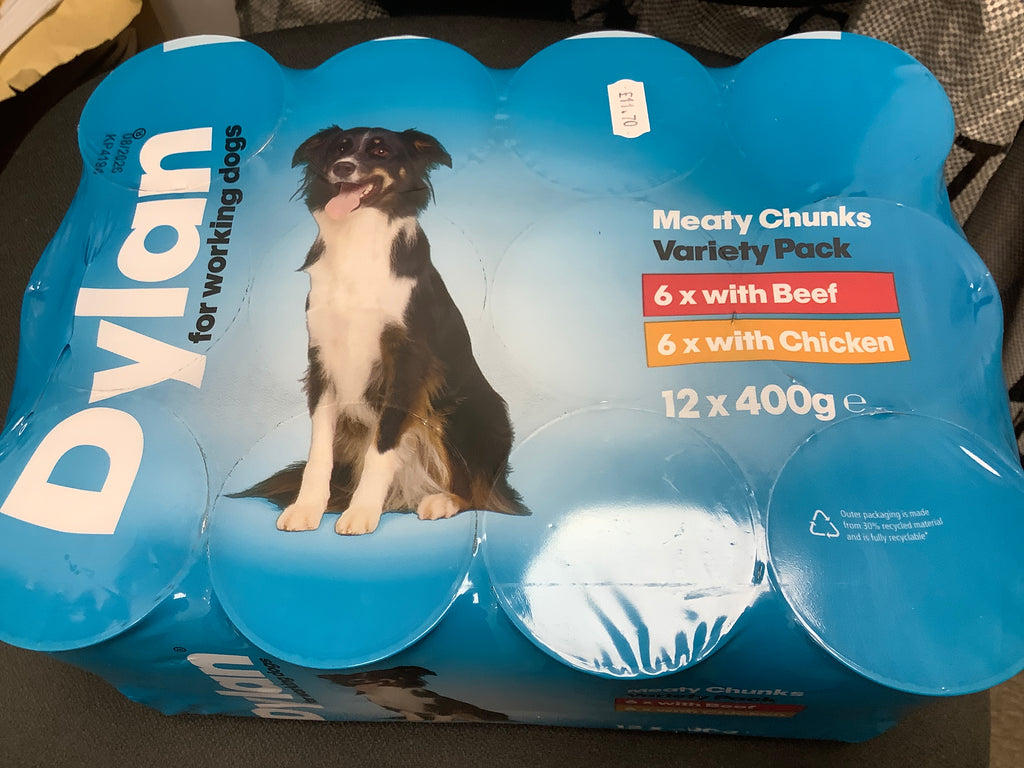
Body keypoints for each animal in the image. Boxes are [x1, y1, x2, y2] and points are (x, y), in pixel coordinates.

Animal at [232, 126, 525, 535]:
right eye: (339, 148)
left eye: (380, 151)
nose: (342, 167)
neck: (359, 237)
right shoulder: (322, 359)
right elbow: (319, 450)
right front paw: (307, 508)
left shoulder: (406, 363)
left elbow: (382, 446)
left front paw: (362, 511)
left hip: (465, 409)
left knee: (480, 491)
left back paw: (442, 500)